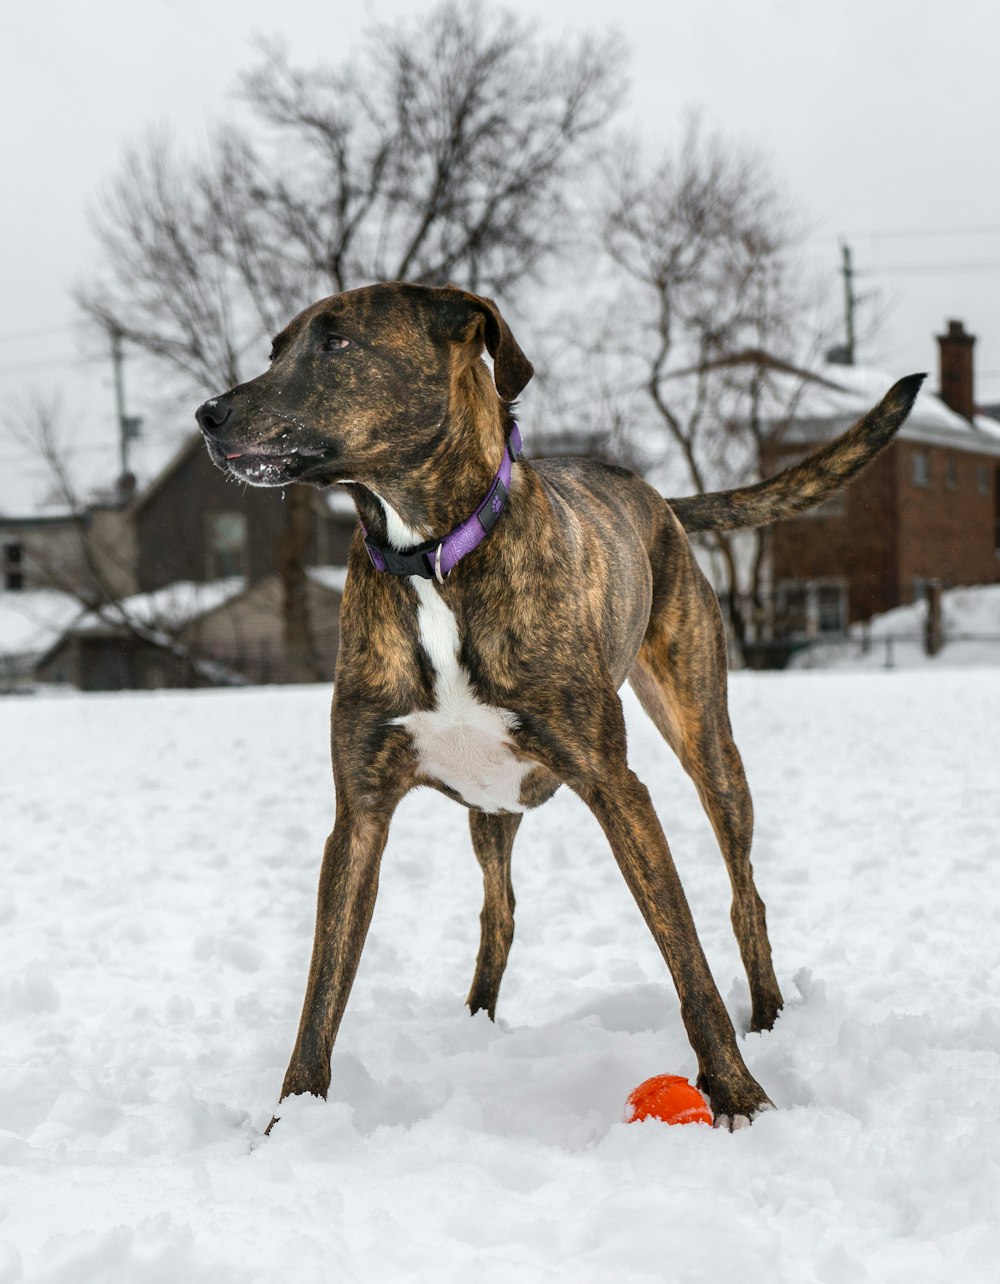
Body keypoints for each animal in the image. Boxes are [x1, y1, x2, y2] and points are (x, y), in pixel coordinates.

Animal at [195, 286, 924, 1129]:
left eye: (335, 343)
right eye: (276, 348)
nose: (208, 414)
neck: (431, 556)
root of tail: (659, 497)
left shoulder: (615, 786)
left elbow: (688, 958)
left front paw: (738, 1092)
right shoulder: (360, 814)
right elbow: (322, 992)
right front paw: (293, 1120)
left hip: (706, 739)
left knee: (745, 894)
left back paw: (769, 1015)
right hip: (492, 805)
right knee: (499, 914)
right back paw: (475, 1023)